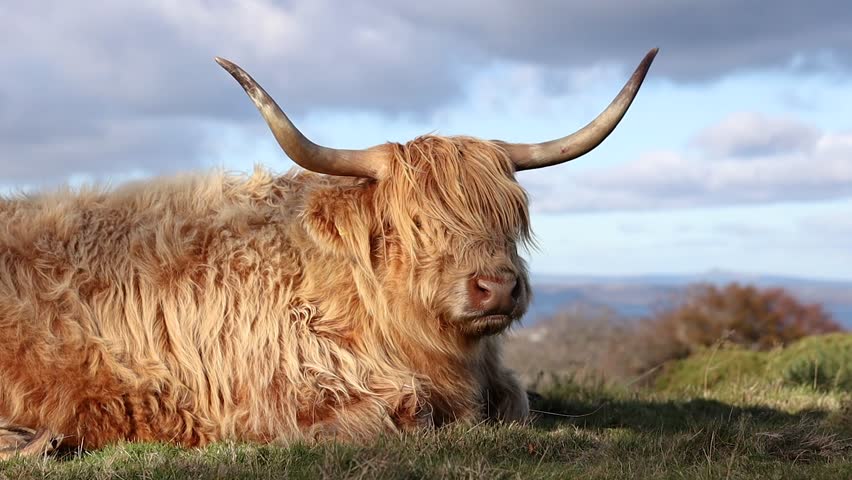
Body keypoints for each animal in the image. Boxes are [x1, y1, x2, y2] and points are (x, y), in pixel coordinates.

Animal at [0, 48, 657, 458]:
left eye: (511, 217)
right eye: (412, 225)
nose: (496, 287)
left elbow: (517, 402)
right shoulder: (280, 397)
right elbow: (409, 413)